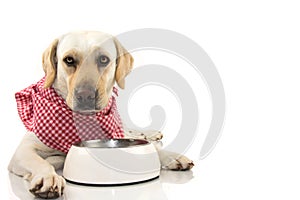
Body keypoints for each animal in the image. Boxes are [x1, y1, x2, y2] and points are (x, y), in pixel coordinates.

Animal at [8, 31, 195, 198]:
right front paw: (49, 177)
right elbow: (40, 161)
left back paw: (152, 137)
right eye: (69, 60)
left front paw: (170, 155)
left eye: (103, 59)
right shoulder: (24, 149)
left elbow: (153, 149)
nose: (85, 96)